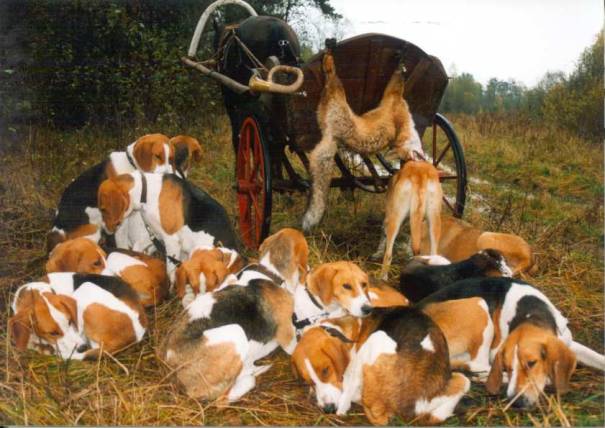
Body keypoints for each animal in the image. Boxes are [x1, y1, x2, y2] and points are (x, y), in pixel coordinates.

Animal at [10, 272, 147, 360]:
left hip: (86, 287)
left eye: (70, 321)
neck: (35, 291)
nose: (82, 348)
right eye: (52, 333)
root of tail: (136, 335)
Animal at [97, 171, 239, 278]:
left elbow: (170, 270)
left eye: (103, 209)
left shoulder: (171, 240)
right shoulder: (154, 232)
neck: (146, 192)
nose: (103, 231)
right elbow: (138, 246)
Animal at [302, 49, 424, 232]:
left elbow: (396, 84)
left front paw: (400, 65)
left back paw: (329, 61)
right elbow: (397, 84)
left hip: (335, 100)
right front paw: (400, 63)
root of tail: (333, 136)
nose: (420, 159)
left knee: (332, 79)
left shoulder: (395, 103)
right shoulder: (394, 101)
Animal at [417, 277, 605, 408]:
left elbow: (598, 358)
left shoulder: (567, 341)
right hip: (479, 306)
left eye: (531, 363)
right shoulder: (496, 351)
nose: (516, 402)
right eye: (507, 367)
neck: (530, 313)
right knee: (479, 366)